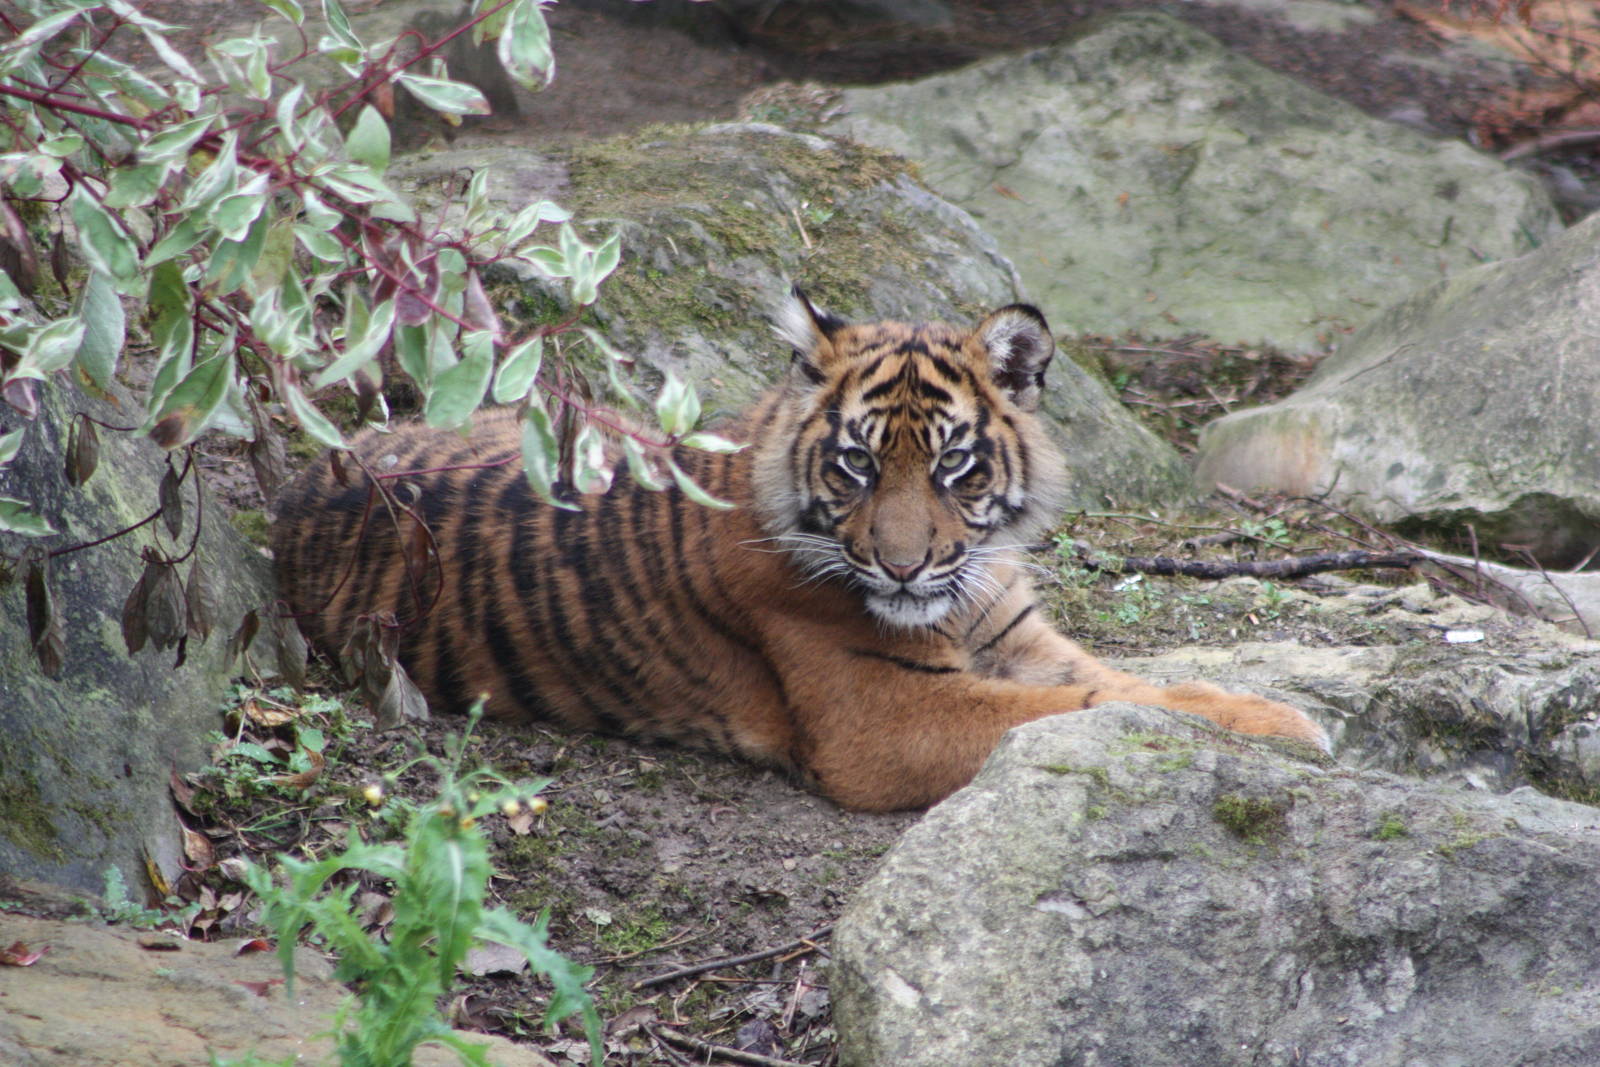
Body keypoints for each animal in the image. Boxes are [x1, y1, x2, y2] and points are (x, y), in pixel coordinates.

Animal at [272, 290, 1328, 811]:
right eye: (857, 463)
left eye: (954, 465)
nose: (902, 566)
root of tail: (314, 473)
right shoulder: (884, 715)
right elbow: (1080, 709)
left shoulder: (1019, 632)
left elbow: (1133, 683)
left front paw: (1274, 717)